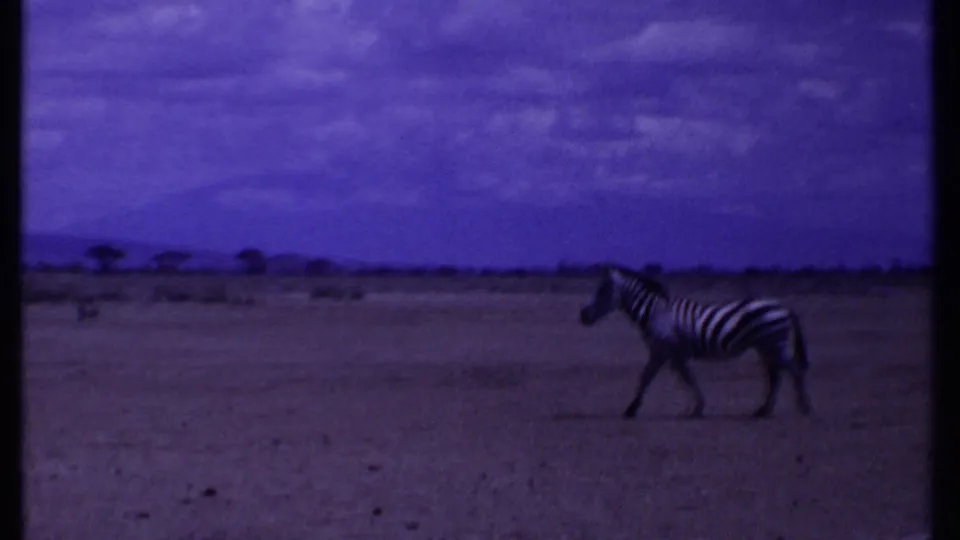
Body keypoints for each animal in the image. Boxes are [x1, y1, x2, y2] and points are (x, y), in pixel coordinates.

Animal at [578, 265, 812, 419]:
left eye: (602, 291)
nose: (583, 316)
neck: (655, 312)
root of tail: (784, 307)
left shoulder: (666, 349)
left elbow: (672, 377)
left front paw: (697, 408)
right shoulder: (667, 351)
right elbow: (656, 377)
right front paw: (633, 408)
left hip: (775, 344)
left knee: (793, 370)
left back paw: (804, 408)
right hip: (766, 346)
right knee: (776, 375)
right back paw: (763, 410)